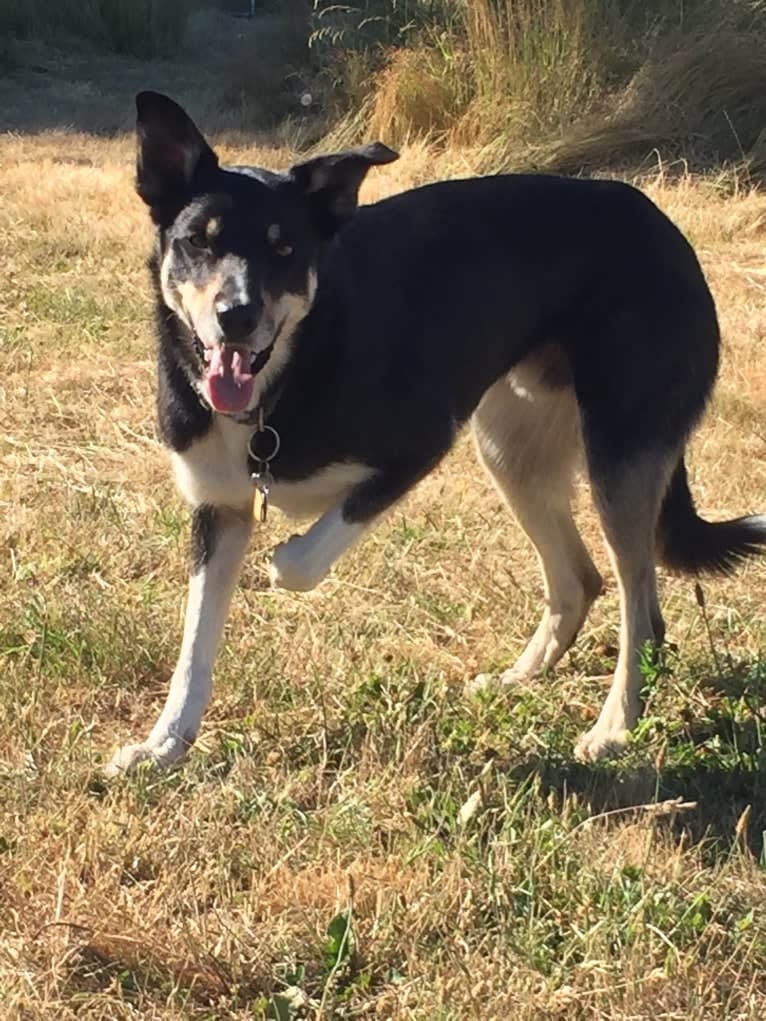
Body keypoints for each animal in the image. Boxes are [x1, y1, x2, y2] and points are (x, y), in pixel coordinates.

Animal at [106, 91, 766, 771]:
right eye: (197, 242)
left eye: (284, 250)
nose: (236, 317)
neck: (286, 380)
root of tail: (660, 222)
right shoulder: (218, 509)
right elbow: (194, 649)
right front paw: (165, 744)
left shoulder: (417, 446)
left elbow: (304, 558)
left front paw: (282, 560)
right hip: (511, 451)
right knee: (580, 581)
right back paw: (516, 680)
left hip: (619, 456)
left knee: (643, 611)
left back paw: (611, 729)